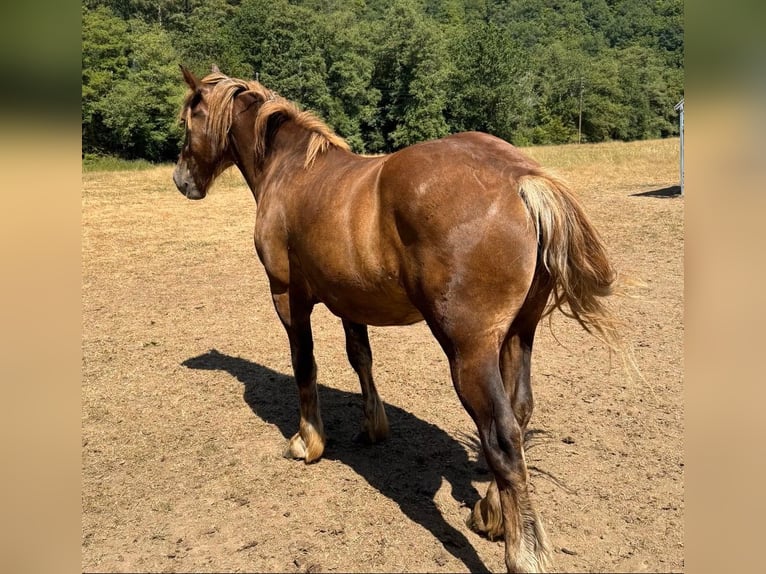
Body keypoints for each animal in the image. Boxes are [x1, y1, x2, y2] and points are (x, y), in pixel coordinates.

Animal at [172, 66, 620, 573]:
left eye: (189, 118)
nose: (181, 179)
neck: (292, 170)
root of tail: (520, 178)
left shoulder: (287, 297)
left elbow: (305, 366)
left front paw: (308, 441)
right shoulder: (349, 302)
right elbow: (360, 358)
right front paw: (373, 426)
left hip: (469, 351)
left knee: (503, 437)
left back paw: (522, 552)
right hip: (517, 336)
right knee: (519, 413)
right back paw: (490, 513)